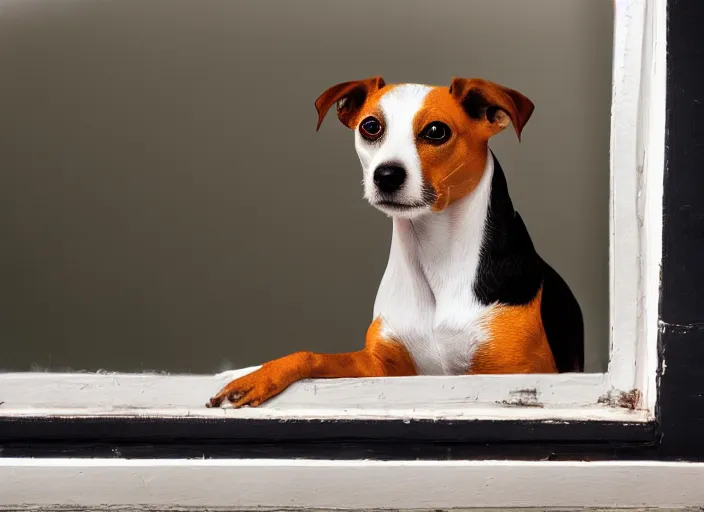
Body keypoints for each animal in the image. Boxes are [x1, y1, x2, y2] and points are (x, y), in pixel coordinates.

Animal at [208, 76, 584, 410]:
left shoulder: (516, 373)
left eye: (436, 131)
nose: (386, 175)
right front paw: (254, 377)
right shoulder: (380, 368)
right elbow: (309, 354)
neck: (434, 254)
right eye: (371, 126)